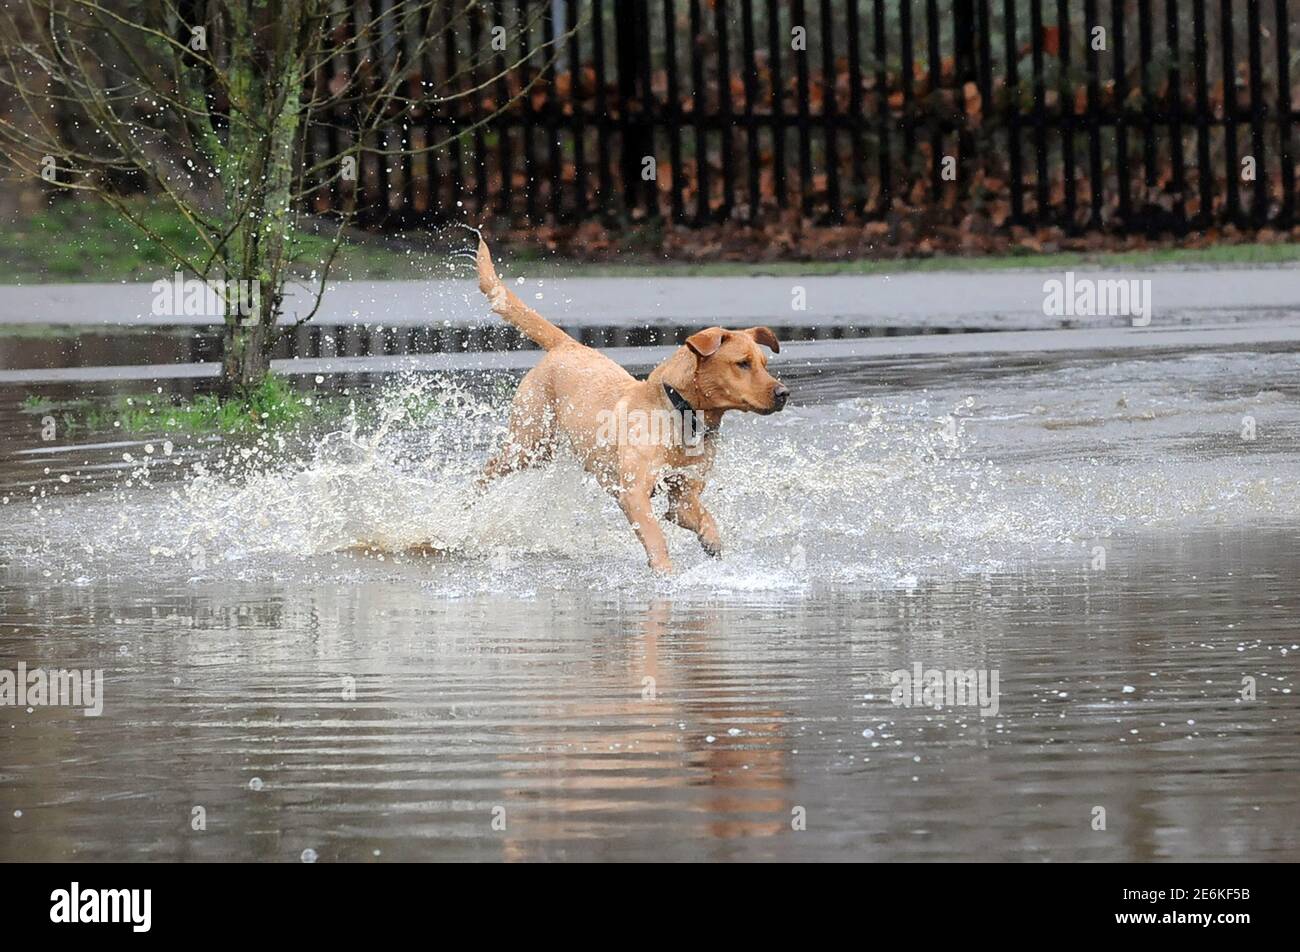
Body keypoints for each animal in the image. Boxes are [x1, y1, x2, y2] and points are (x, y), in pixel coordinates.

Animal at [473, 238, 785, 572]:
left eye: (765, 363)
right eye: (742, 363)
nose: (784, 393)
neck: (680, 413)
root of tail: (567, 345)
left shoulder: (682, 498)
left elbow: (704, 516)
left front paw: (712, 542)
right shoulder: (634, 494)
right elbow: (655, 536)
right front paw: (664, 571)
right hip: (530, 443)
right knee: (489, 468)